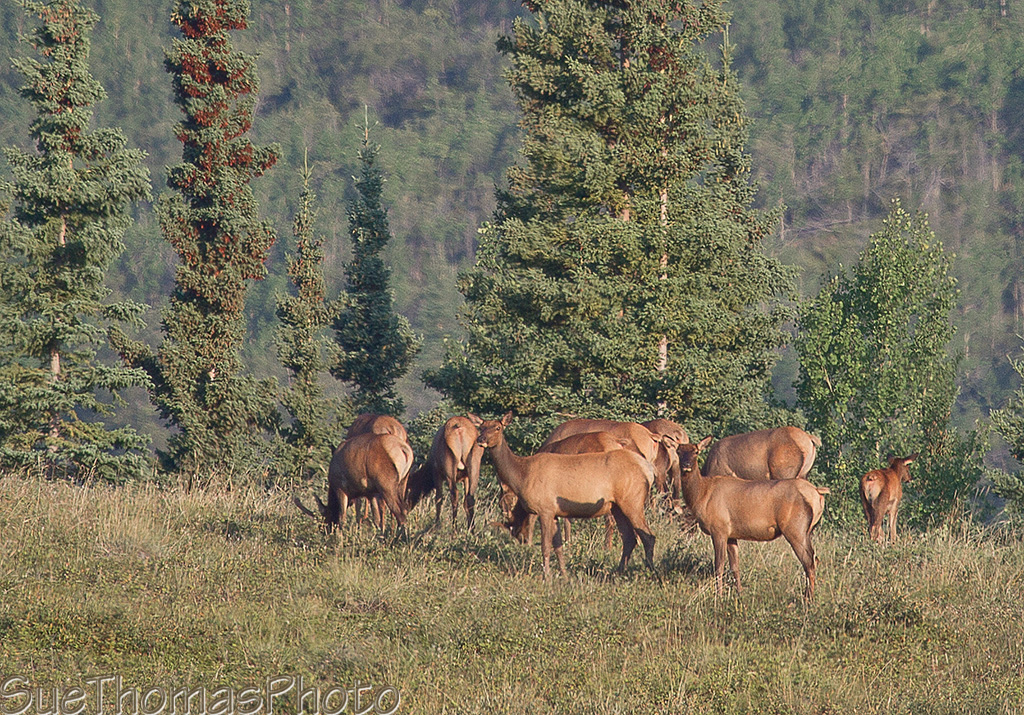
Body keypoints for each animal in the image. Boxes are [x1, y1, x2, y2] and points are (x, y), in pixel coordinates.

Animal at [477, 412, 659, 580]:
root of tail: (648, 470)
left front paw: (547, 576)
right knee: (629, 538)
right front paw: (564, 574)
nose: (480, 439)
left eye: (498, 427)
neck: (522, 474)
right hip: (616, 506)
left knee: (648, 536)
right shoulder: (555, 512)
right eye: (481, 427)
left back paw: (650, 570)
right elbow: (558, 546)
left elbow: (545, 545)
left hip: (632, 500)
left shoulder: (545, 508)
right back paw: (618, 572)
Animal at [678, 436, 830, 599]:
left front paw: (719, 596)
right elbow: (735, 567)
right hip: (807, 530)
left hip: (795, 528)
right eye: (679, 451)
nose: (686, 465)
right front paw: (739, 593)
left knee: (809, 562)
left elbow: (719, 566)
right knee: (815, 559)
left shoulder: (719, 529)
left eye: (696, 451)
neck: (702, 495)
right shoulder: (731, 534)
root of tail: (817, 493)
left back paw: (809, 599)